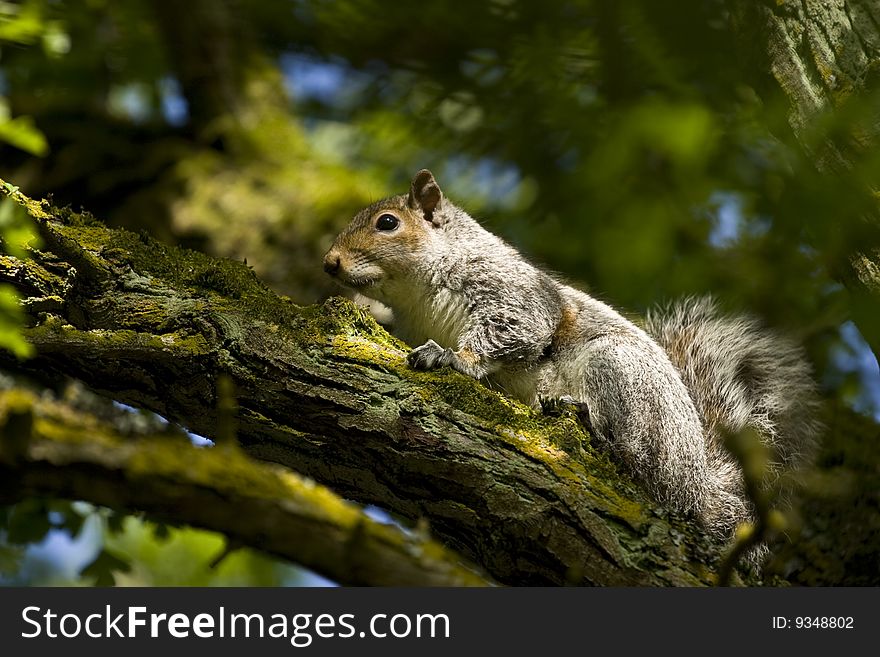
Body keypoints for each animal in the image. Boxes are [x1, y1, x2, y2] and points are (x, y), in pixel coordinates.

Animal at [324, 168, 824, 548]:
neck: (418, 297)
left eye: (387, 223)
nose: (330, 263)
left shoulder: (514, 295)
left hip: (618, 371)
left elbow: (516, 331)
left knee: (636, 458)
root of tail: (696, 484)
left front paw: (452, 357)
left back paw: (588, 424)